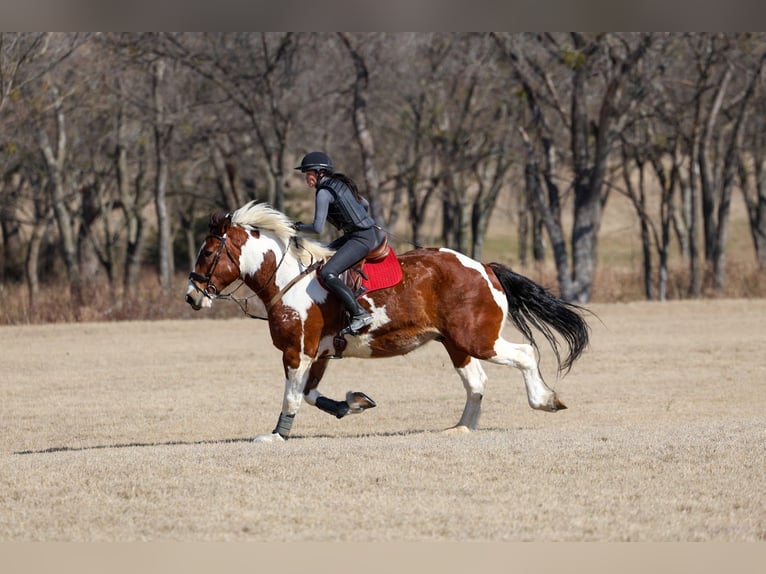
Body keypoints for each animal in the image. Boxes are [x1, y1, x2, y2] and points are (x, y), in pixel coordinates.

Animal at [185, 201, 590, 442]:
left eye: (208, 251)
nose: (191, 296)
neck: (287, 278)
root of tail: (484, 267)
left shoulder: (297, 352)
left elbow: (292, 397)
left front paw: (276, 436)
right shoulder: (321, 354)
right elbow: (312, 395)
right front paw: (354, 403)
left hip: (477, 338)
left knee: (525, 354)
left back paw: (545, 400)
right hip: (456, 343)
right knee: (476, 382)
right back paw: (462, 427)